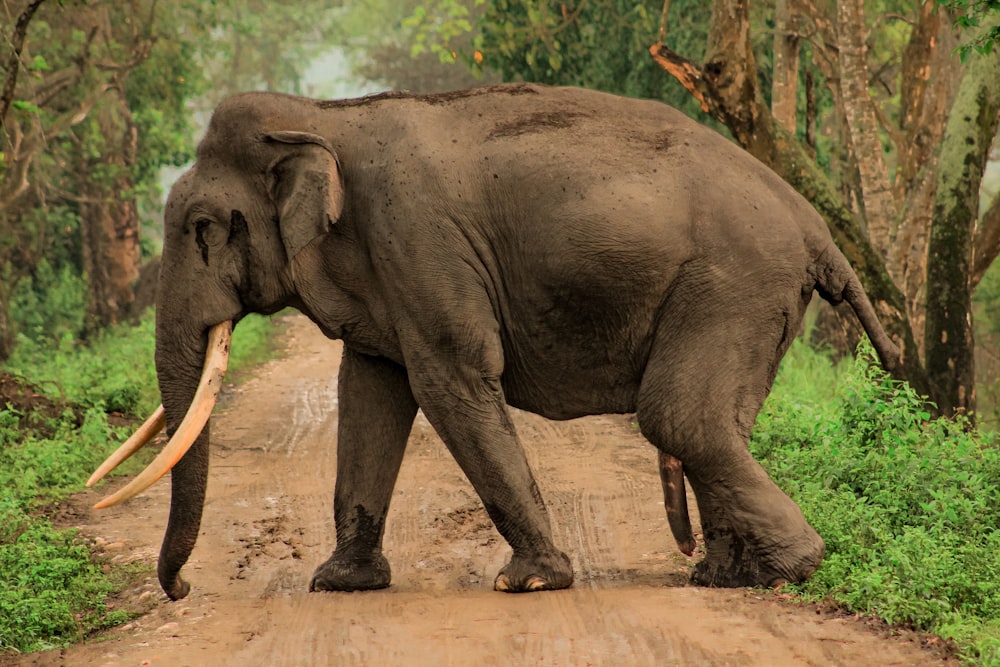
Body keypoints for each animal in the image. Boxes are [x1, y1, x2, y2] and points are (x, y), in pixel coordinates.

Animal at [88, 82, 900, 600]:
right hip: (754, 299)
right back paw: (728, 577)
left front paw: (532, 580)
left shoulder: (419, 239)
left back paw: (791, 569)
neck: (324, 118)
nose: (180, 588)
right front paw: (339, 583)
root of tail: (818, 231)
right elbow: (371, 389)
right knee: (711, 423)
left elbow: (449, 379)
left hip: (733, 285)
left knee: (680, 417)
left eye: (203, 228)